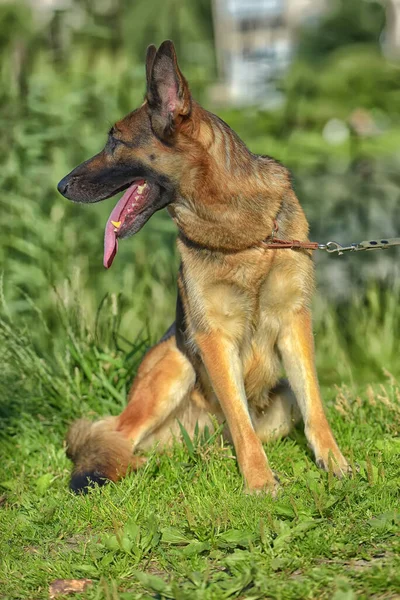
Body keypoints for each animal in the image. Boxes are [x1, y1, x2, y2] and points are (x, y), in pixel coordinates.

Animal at [57, 39, 348, 494]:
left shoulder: (294, 320)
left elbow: (313, 403)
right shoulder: (213, 337)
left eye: (114, 143)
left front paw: (334, 463)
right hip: (174, 364)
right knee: (115, 434)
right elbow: (240, 418)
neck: (242, 234)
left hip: (276, 405)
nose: (61, 186)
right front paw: (260, 483)